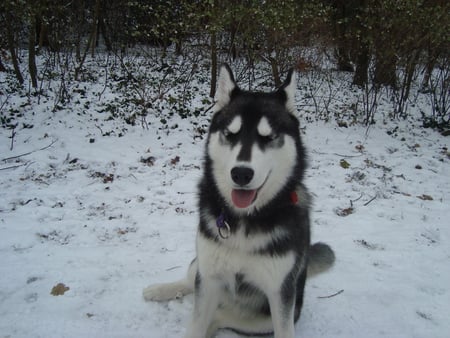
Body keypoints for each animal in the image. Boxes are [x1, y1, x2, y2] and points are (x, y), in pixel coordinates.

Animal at [144, 64, 334, 338]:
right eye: (230, 134)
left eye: (268, 137)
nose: (241, 173)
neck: (245, 220)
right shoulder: (209, 276)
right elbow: (196, 321)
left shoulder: (280, 292)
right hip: (202, 266)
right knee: (190, 280)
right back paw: (159, 289)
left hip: (263, 319)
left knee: (221, 317)